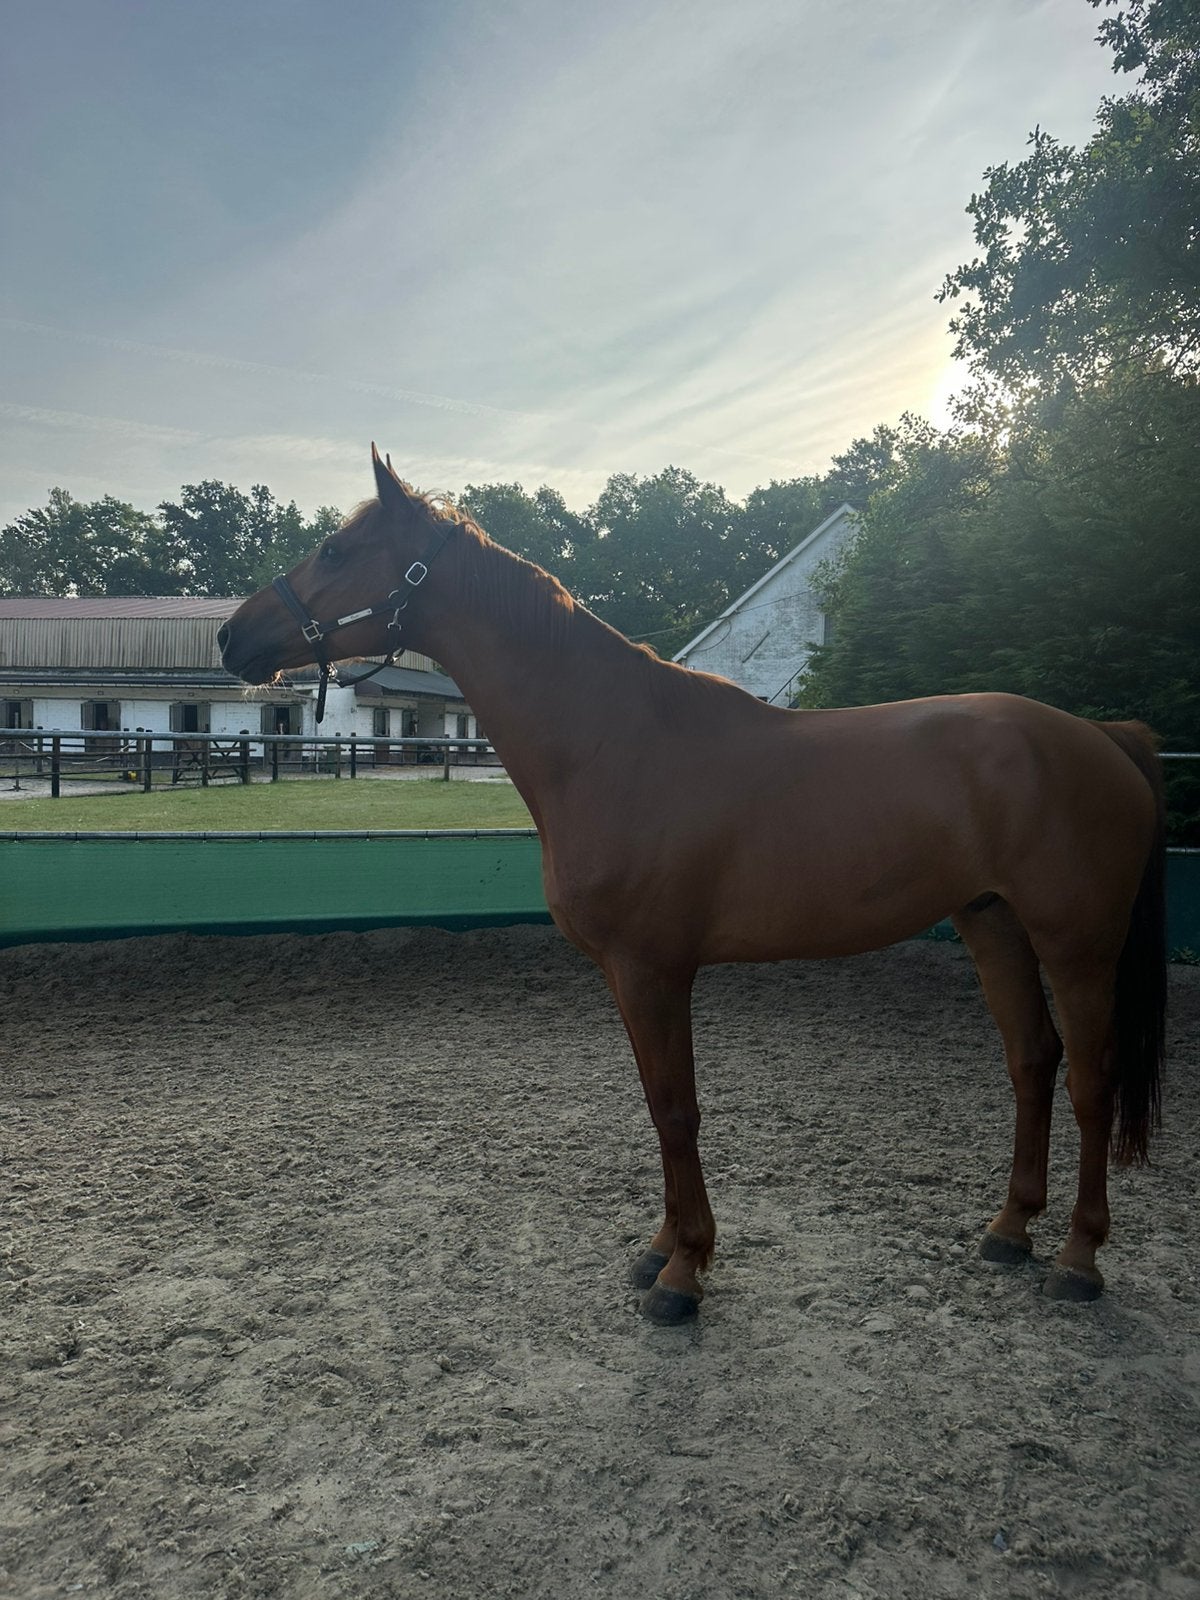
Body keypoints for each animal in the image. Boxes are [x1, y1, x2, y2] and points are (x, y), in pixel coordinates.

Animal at [218, 446, 1167, 1323]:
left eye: (338, 550)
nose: (232, 636)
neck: (615, 741)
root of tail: (1102, 738)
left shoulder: (654, 968)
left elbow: (677, 1110)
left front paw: (683, 1274)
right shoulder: (628, 976)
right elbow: (655, 1104)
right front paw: (661, 1247)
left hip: (1077, 944)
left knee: (1090, 1080)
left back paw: (1078, 1259)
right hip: (991, 923)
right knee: (1031, 1060)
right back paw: (1010, 1229)